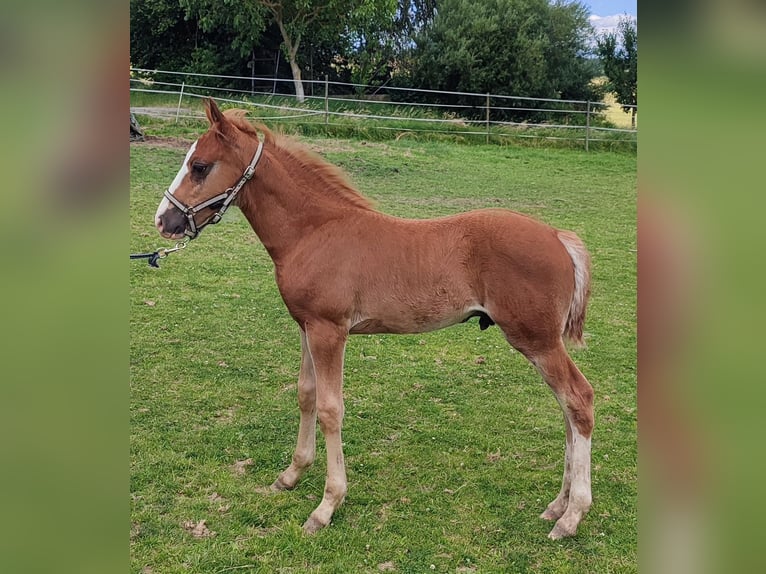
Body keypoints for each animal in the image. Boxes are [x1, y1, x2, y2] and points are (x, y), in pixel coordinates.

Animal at [153, 98, 596, 540]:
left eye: (200, 166)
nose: (164, 221)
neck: (314, 232)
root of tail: (558, 236)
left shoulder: (330, 331)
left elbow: (331, 408)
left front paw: (326, 506)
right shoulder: (306, 327)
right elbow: (306, 394)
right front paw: (291, 475)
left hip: (537, 340)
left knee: (579, 400)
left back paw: (572, 514)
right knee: (566, 408)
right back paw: (557, 505)